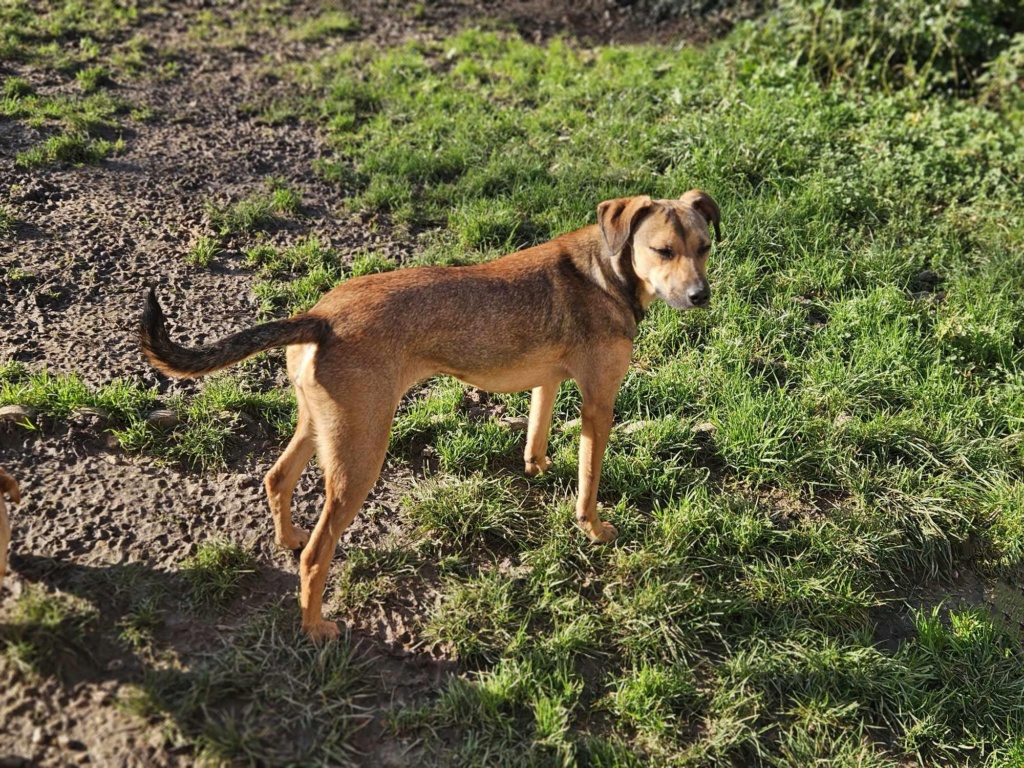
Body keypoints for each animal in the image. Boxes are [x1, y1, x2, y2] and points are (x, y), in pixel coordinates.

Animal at [142, 192, 720, 643]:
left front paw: (538, 469)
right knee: (317, 555)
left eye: (704, 247)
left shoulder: (547, 381)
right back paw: (314, 627)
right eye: (663, 250)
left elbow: (537, 432)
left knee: (277, 478)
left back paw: (287, 539)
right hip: (361, 455)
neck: (608, 269)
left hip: (320, 427)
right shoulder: (600, 402)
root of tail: (320, 317)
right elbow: (590, 478)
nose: (701, 296)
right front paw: (593, 528)